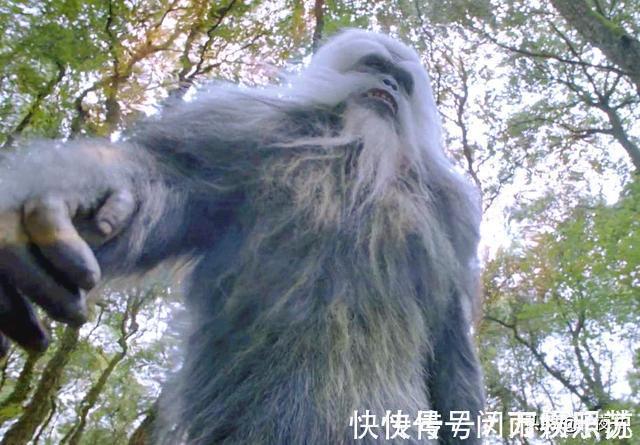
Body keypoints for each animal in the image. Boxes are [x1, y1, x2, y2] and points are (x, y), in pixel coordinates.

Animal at [0, 30, 484, 444]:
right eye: (376, 65)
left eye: (402, 80)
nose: (389, 84)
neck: (360, 158)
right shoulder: (242, 132)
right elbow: (163, 176)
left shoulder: (452, 219)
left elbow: (448, 328)